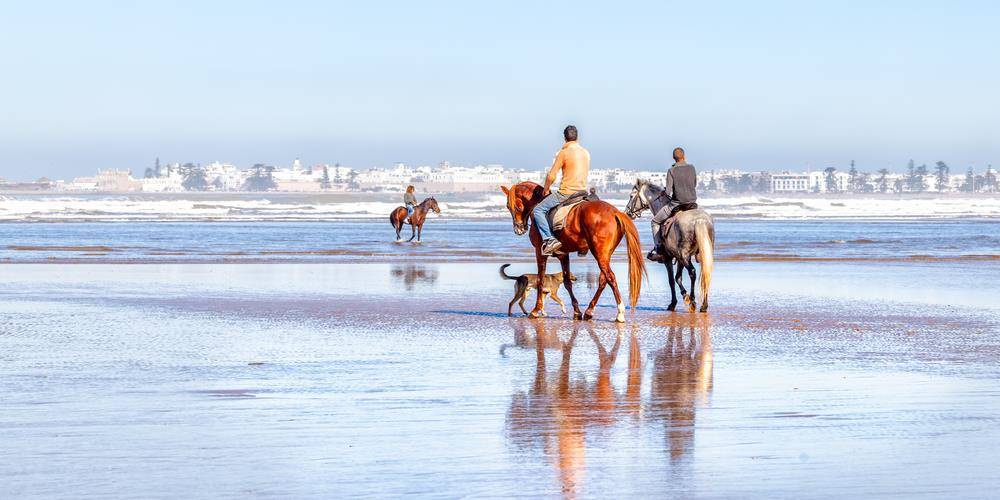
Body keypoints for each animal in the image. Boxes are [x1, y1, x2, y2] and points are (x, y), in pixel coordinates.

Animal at [500, 182, 648, 322]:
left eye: (509, 206)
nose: (518, 229)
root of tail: (615, 212)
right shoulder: (563, 255)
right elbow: (567, 282)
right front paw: (577, 311)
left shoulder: (540, 252)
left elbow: (540, 280)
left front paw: (536, 310)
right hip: (605, 254)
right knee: (603, 279)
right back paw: (589, 311)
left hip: (599, 253)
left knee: (610, 277)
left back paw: (620, 313)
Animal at [620, 180, 716, 312]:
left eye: (631, 196)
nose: (627, 213)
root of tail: (699, 220)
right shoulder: (679, 258)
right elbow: (678, 277)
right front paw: (684, 297)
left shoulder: (668, 258)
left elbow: (671, 280)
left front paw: (674, 303)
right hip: (700, 254)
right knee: (706, 273)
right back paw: (703, 305)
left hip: (685, 256)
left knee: (692, 272)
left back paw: (693, 301)